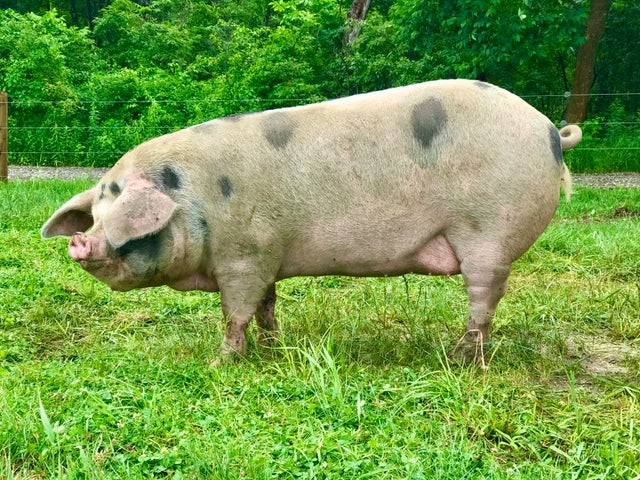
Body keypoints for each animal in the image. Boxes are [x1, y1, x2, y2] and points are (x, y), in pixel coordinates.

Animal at [41, 79, 582, 361]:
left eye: (120, 212)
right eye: (94, 215)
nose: (80, 242)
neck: (195, 200)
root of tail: (549, 130)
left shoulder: (244, 254)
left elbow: (235, 311)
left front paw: (223, 360)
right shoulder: (267, 253)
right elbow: (266, 305)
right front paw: (274, 347)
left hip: (488, 231)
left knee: (484, 295)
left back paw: (460, 358)